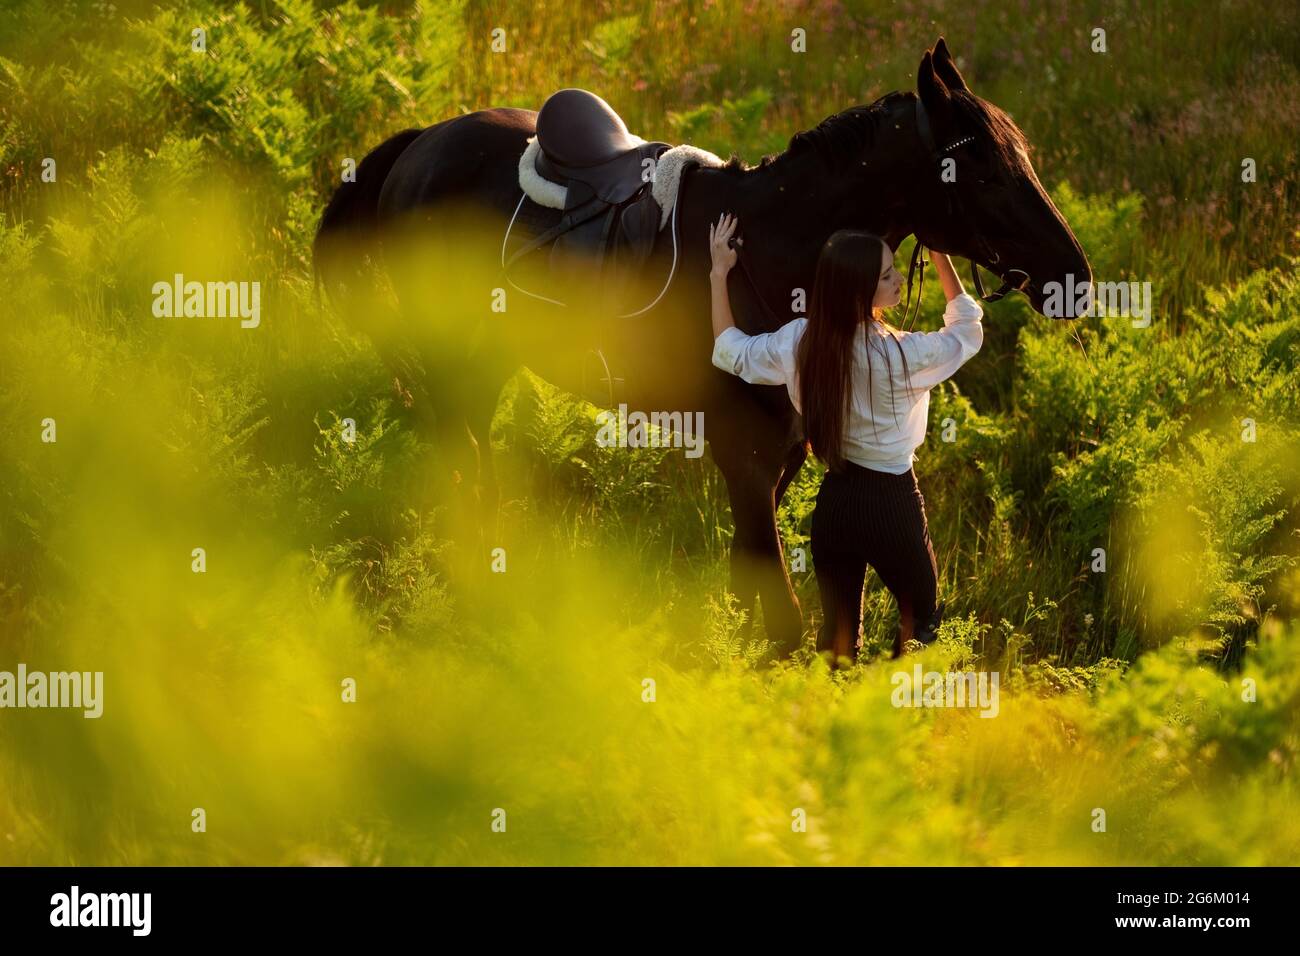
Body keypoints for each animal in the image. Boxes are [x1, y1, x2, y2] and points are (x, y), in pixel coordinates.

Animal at [319, 42, 1092, 658]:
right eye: (986, 172)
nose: (1075, 278)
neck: (771, 250)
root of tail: (422, 142)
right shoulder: (742, 449)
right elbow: (780, 619)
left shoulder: (780, 454)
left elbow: (750, 586)